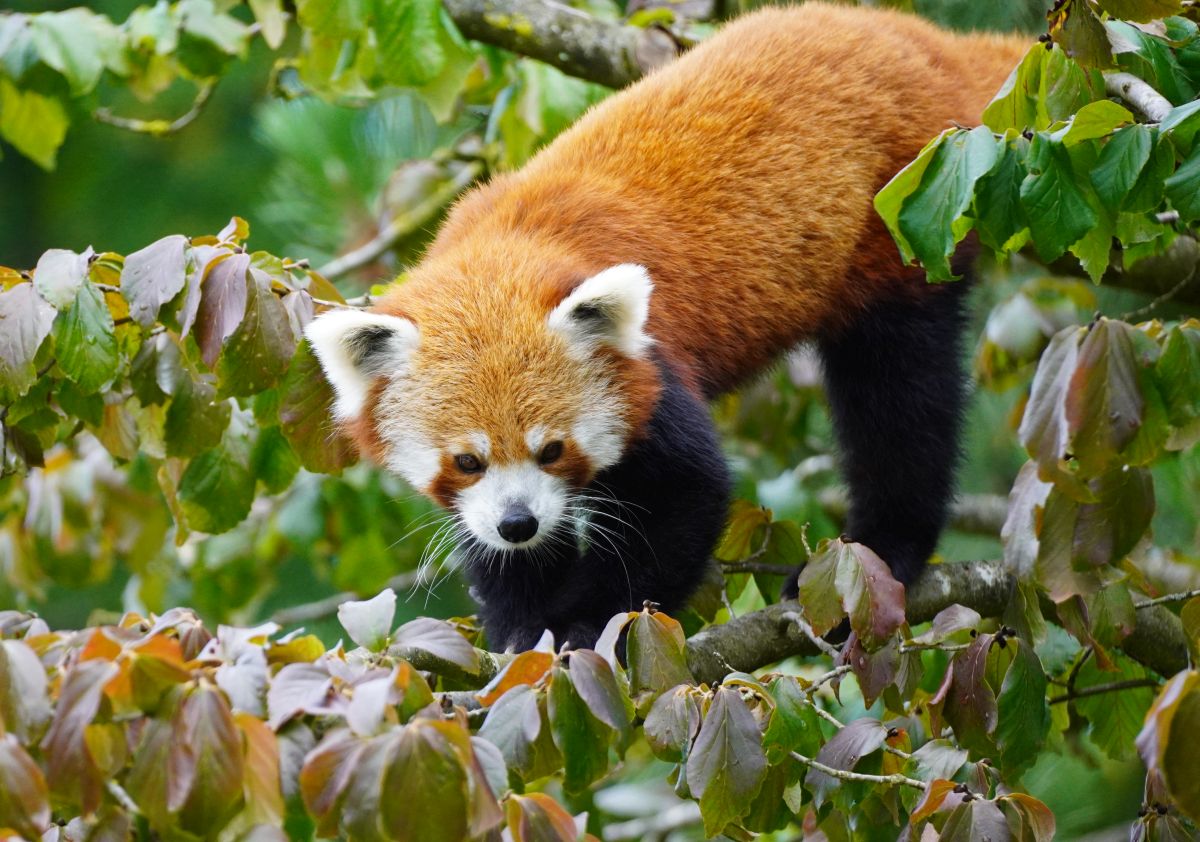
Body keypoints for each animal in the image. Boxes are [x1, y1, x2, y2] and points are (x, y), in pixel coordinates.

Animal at [304, 1, 1027, 652]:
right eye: (467, 461)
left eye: (552, 449)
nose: (518, 523)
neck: (505, 246)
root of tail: (919, 40)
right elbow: (484, 538)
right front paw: (518, 619)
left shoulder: (650, 369)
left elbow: (686, 497)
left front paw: (583, 624)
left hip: (904, 220)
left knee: (901, 400)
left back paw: (884, 547)